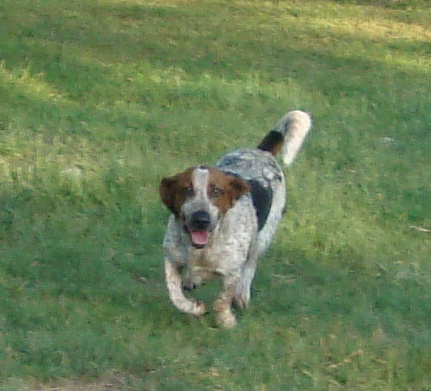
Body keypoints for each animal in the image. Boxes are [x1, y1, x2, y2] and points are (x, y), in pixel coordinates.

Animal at [159, 110, 310, 328]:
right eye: (187, 190)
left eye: (216, 191)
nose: (201, 218)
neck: (202, 249)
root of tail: (261, 151)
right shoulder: (171, 259)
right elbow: (175, 294)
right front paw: (195, 307)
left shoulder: (231, 272)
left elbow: (222, 300)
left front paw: (226, 320)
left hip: (262, 238)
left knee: (251, 266)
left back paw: (241, 296)